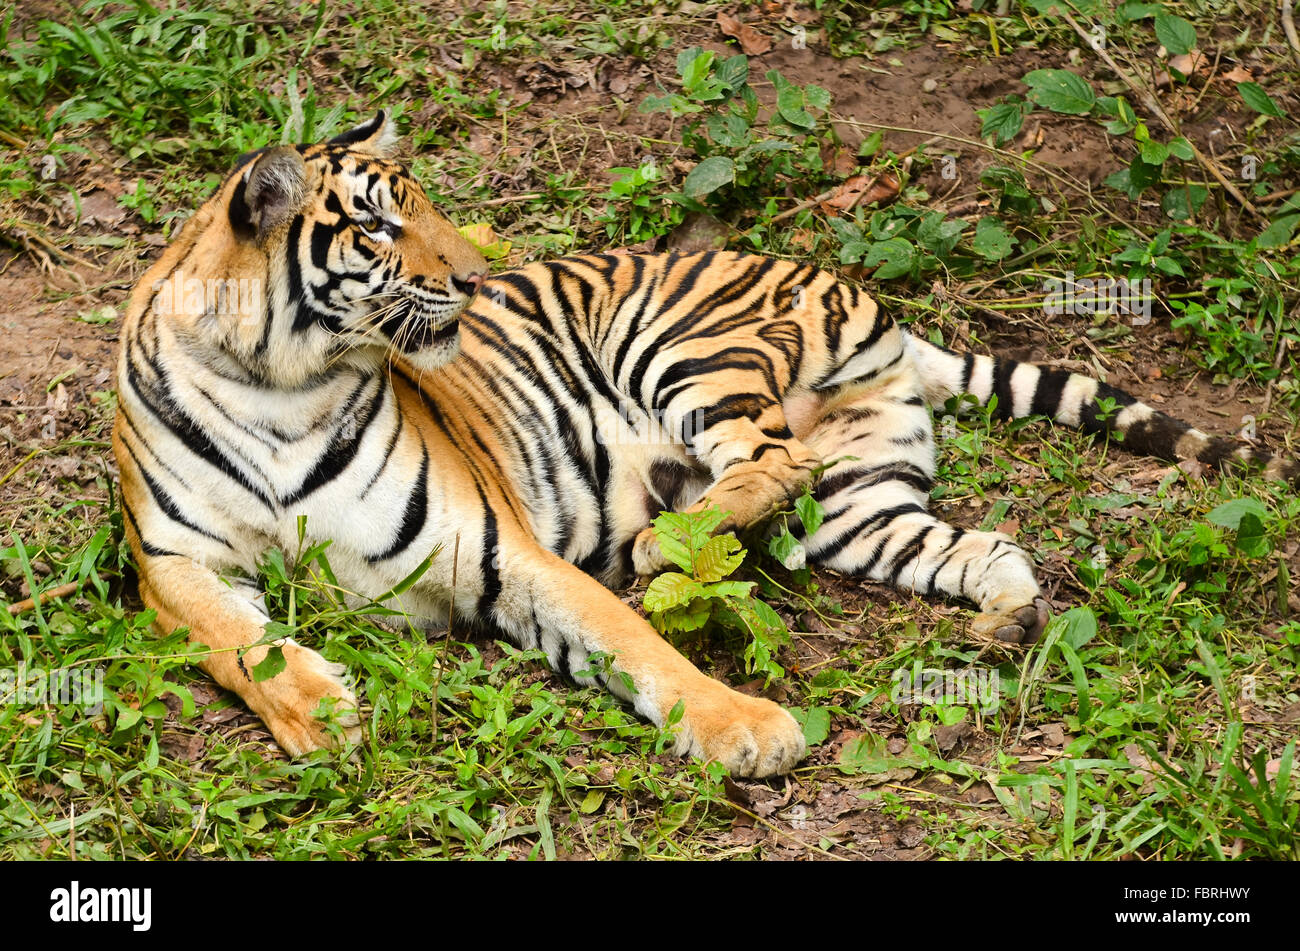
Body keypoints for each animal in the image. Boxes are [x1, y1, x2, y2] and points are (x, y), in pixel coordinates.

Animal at [113, 112, 1299, 778]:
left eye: (428, 208)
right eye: (375, 225)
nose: (475, 278)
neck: (282, 380)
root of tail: (862, 293)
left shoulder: (494, 547)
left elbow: (638, 643)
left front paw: (747, 729)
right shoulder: (174, 566)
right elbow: (237, 644)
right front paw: (319, 716)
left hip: (683, 348)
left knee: (767, 459)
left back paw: (663, 541)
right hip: (866, 506)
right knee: (963, 537)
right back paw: (1005, 621)